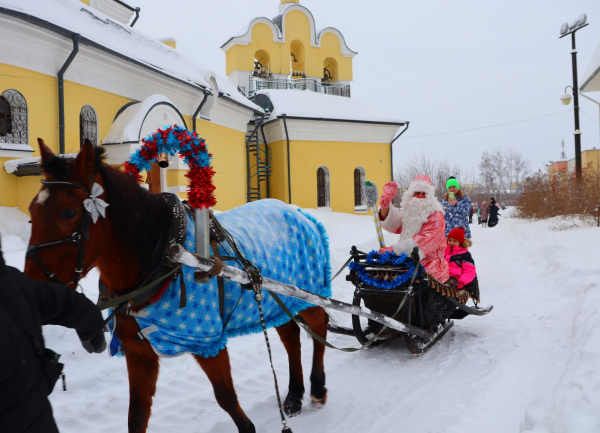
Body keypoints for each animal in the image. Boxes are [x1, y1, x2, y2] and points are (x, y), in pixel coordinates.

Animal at [25, 139, 328, 432]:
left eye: (69, 212)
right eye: (31, 210)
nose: (33, 287)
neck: (165, 256)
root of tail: (298, 212)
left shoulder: (207, 343)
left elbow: (227, 398)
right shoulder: (139, 354)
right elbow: (137, 416)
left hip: (306, 295)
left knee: (319, 327)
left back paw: (317, 387)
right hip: (279, 302)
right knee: (291, 339)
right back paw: (294, 395)